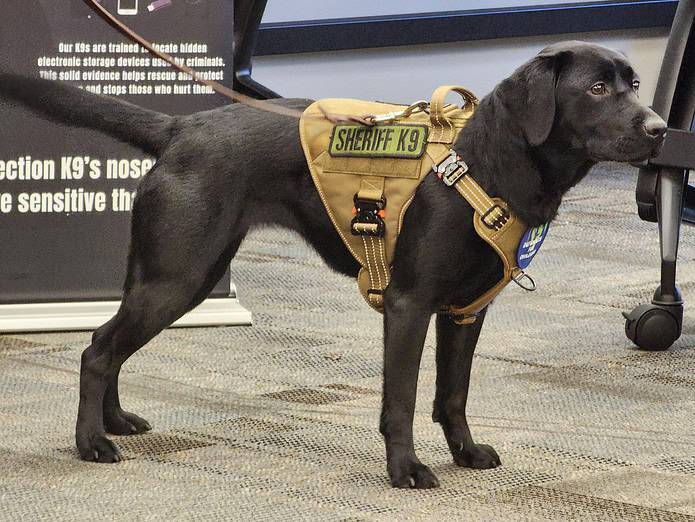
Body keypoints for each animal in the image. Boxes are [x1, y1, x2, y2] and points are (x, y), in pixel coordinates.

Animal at [0, 41, 664, 488]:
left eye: (634, 83)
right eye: (597, 89)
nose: (661, 128)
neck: (489, 163)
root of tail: (182, 125)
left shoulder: (465, 314)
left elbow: (452, 395)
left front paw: (466, 454)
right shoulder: (409, 305)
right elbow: (401, 401)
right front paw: (406, 470)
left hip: (180, 276)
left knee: (110, 344)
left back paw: (115, 422)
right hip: (178, 276)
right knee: (97, 349)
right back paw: (91, 442)